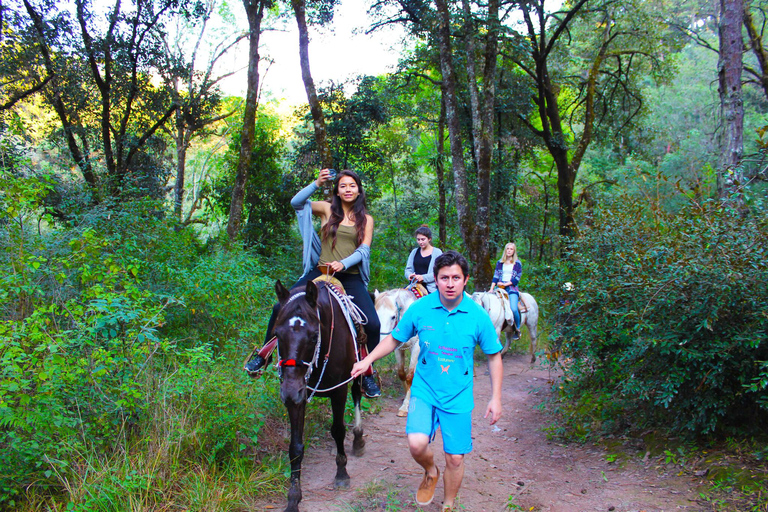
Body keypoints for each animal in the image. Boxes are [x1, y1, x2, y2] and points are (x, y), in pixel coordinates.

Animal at [272, 280, 364, 512]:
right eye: (276, 334)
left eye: (314, 336)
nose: (288, 391)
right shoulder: (298, 394)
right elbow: (295, 447)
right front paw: (293, 497)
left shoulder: (339, 390)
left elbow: (338, 430)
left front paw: (342, 474)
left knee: (358, 395)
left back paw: (358, 438)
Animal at [374, 288, 416, 416]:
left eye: (393, 316)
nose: (381, 342)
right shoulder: (398, 348)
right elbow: (401, 373)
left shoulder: (416, 347)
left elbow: (410, 376)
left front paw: (405, 406)